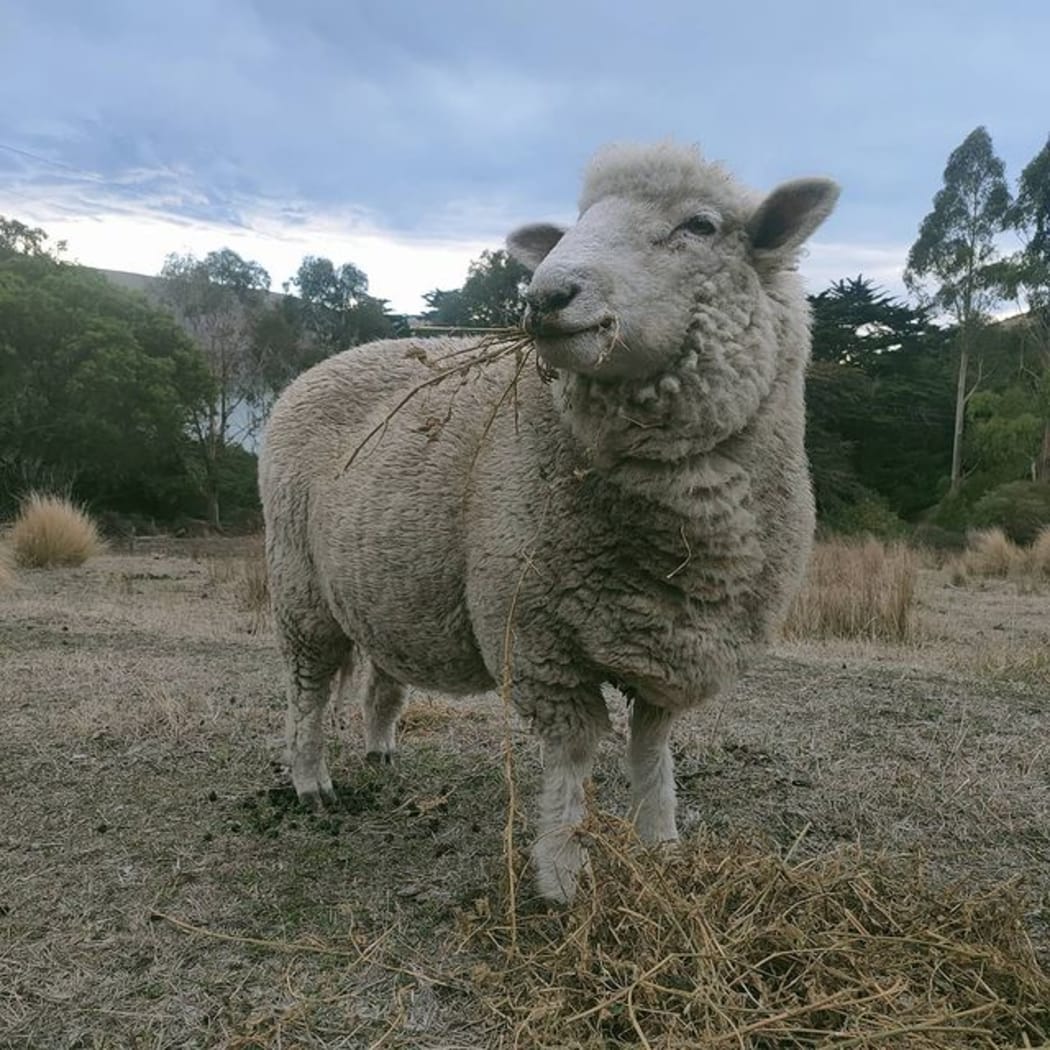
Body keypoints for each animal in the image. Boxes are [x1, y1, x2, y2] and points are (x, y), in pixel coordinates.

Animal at [259, 141, 839, 902]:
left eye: (701, 225)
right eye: (576, 221)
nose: (545, 296)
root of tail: (322, 366)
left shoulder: (669, 644)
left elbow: (653, 750)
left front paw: (662, 848)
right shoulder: (539, 634)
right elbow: (573, 752)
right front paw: (563, 875)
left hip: (384, 577)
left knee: (381, 669)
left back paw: (381, 750)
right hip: (299, 583)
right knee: (307, 687)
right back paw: (310, 782)